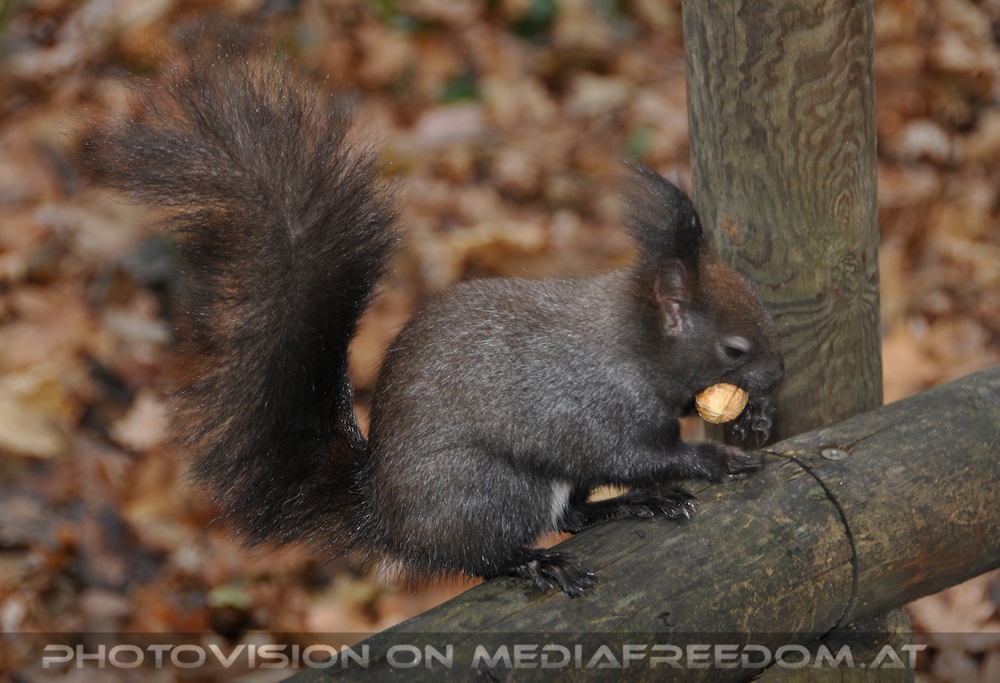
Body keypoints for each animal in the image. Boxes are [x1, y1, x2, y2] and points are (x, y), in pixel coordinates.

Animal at [87, 27, 784, 597]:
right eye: (734, 348)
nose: (777, 375)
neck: (632, 345)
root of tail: (385, 514)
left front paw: (753, 421)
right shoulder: (592, 410)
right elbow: (635, 454)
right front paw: (716, 460)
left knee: (572, 513)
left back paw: (634, 507)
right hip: (494, 490)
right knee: (487, 554)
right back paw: (540, 562)